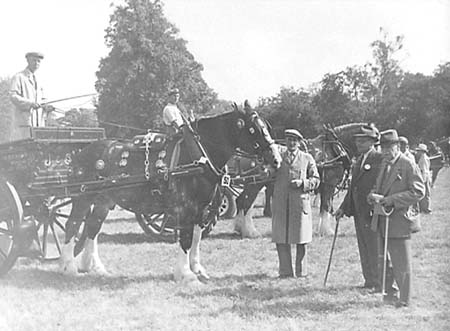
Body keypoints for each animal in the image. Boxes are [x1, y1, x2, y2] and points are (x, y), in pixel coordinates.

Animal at [58, 102, 280, 284]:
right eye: (253, 129)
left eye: (266, 126)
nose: (276, 159)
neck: (197, 156)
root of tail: (81, 153)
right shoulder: (186, 207)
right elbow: (186, 238)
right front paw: (186, 274)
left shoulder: (202, 209)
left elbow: (196, 238)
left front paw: (197, 268)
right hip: (82, 199)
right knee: (73, 225)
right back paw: (69, 267)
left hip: (103, 201)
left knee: (92, 228)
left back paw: (95, 267)